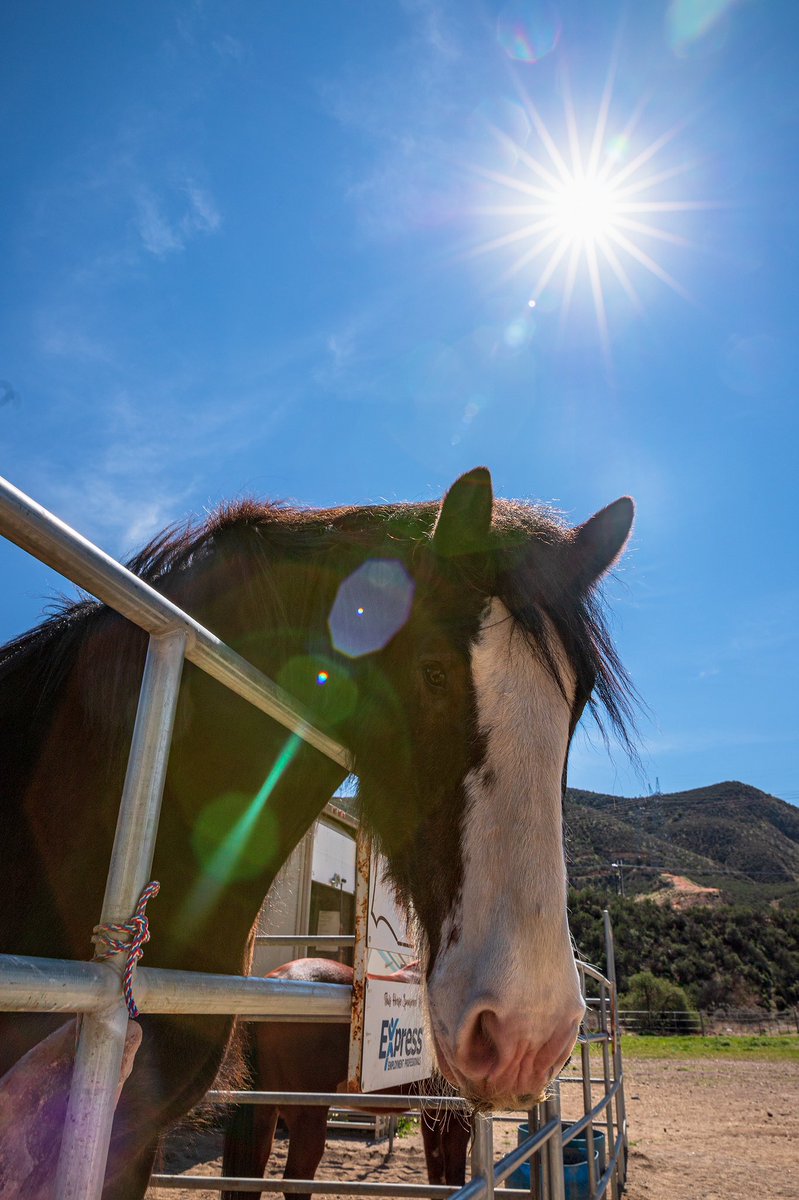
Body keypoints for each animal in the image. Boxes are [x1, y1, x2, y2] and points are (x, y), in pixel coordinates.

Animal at [220, 959, 471, 1200]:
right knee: (296, 1180)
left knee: (251, 1178)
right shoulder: (457, 1112)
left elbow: (437, 1174)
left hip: (263, 1109)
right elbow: (454, 1173)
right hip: (307, 1114)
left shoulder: (434, 1111)